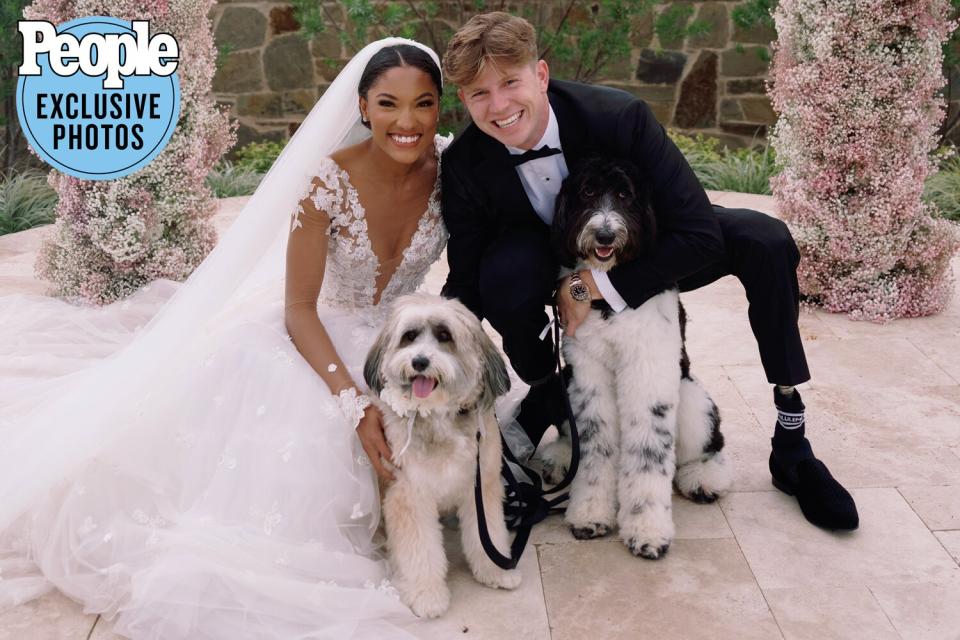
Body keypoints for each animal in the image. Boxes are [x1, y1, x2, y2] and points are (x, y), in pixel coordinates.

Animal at [364, 296, 520, 620]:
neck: (439, 417)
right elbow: (420, 551)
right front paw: (427, 595)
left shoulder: (481, 484)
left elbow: (489, 534)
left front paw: (496, 571)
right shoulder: (409, 496)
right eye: (409, 336)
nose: (419, 362)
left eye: (444, 335)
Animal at [540, 159, 736, 560]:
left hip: (693, 401)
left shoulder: (648, 374)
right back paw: (561, 458)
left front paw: (647, 530)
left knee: (706, 447)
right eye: (586, 192)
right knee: (573, 436)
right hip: (561, 382)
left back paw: (704, 479)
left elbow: (648, 452)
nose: (604, 234)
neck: (605, 296)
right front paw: (590, 513)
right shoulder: (587, 373)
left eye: (624, 194)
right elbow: (595, 447)